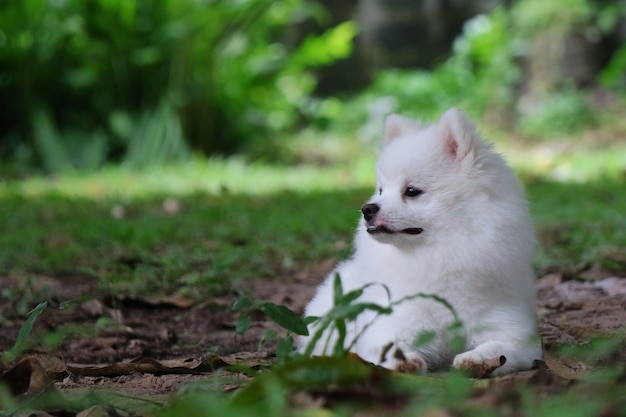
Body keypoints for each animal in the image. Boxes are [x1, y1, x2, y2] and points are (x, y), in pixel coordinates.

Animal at [296, 109, 536, 376]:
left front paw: (477, 359)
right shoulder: (393, 322)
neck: (437, 256)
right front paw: (403, 360)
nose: (367, 209)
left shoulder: (512, 332)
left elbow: (500, 348)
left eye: (411, 191)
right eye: (381, 190)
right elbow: (389, 344)